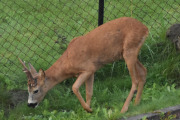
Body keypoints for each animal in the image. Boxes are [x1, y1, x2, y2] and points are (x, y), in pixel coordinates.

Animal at [19, 17, 148, 113]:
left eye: (35, 90)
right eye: (28, 88)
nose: (30, 104)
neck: (68, 62)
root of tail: (145, 28)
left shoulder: (88, 68)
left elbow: (74, 87)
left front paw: (88, 109)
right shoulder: (92, 71)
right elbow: (89, 92)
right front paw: (89, 109)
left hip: (129, 50)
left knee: (135, 80)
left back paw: (124, 109)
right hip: (128, 53)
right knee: (143, 71)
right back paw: (136, 103)